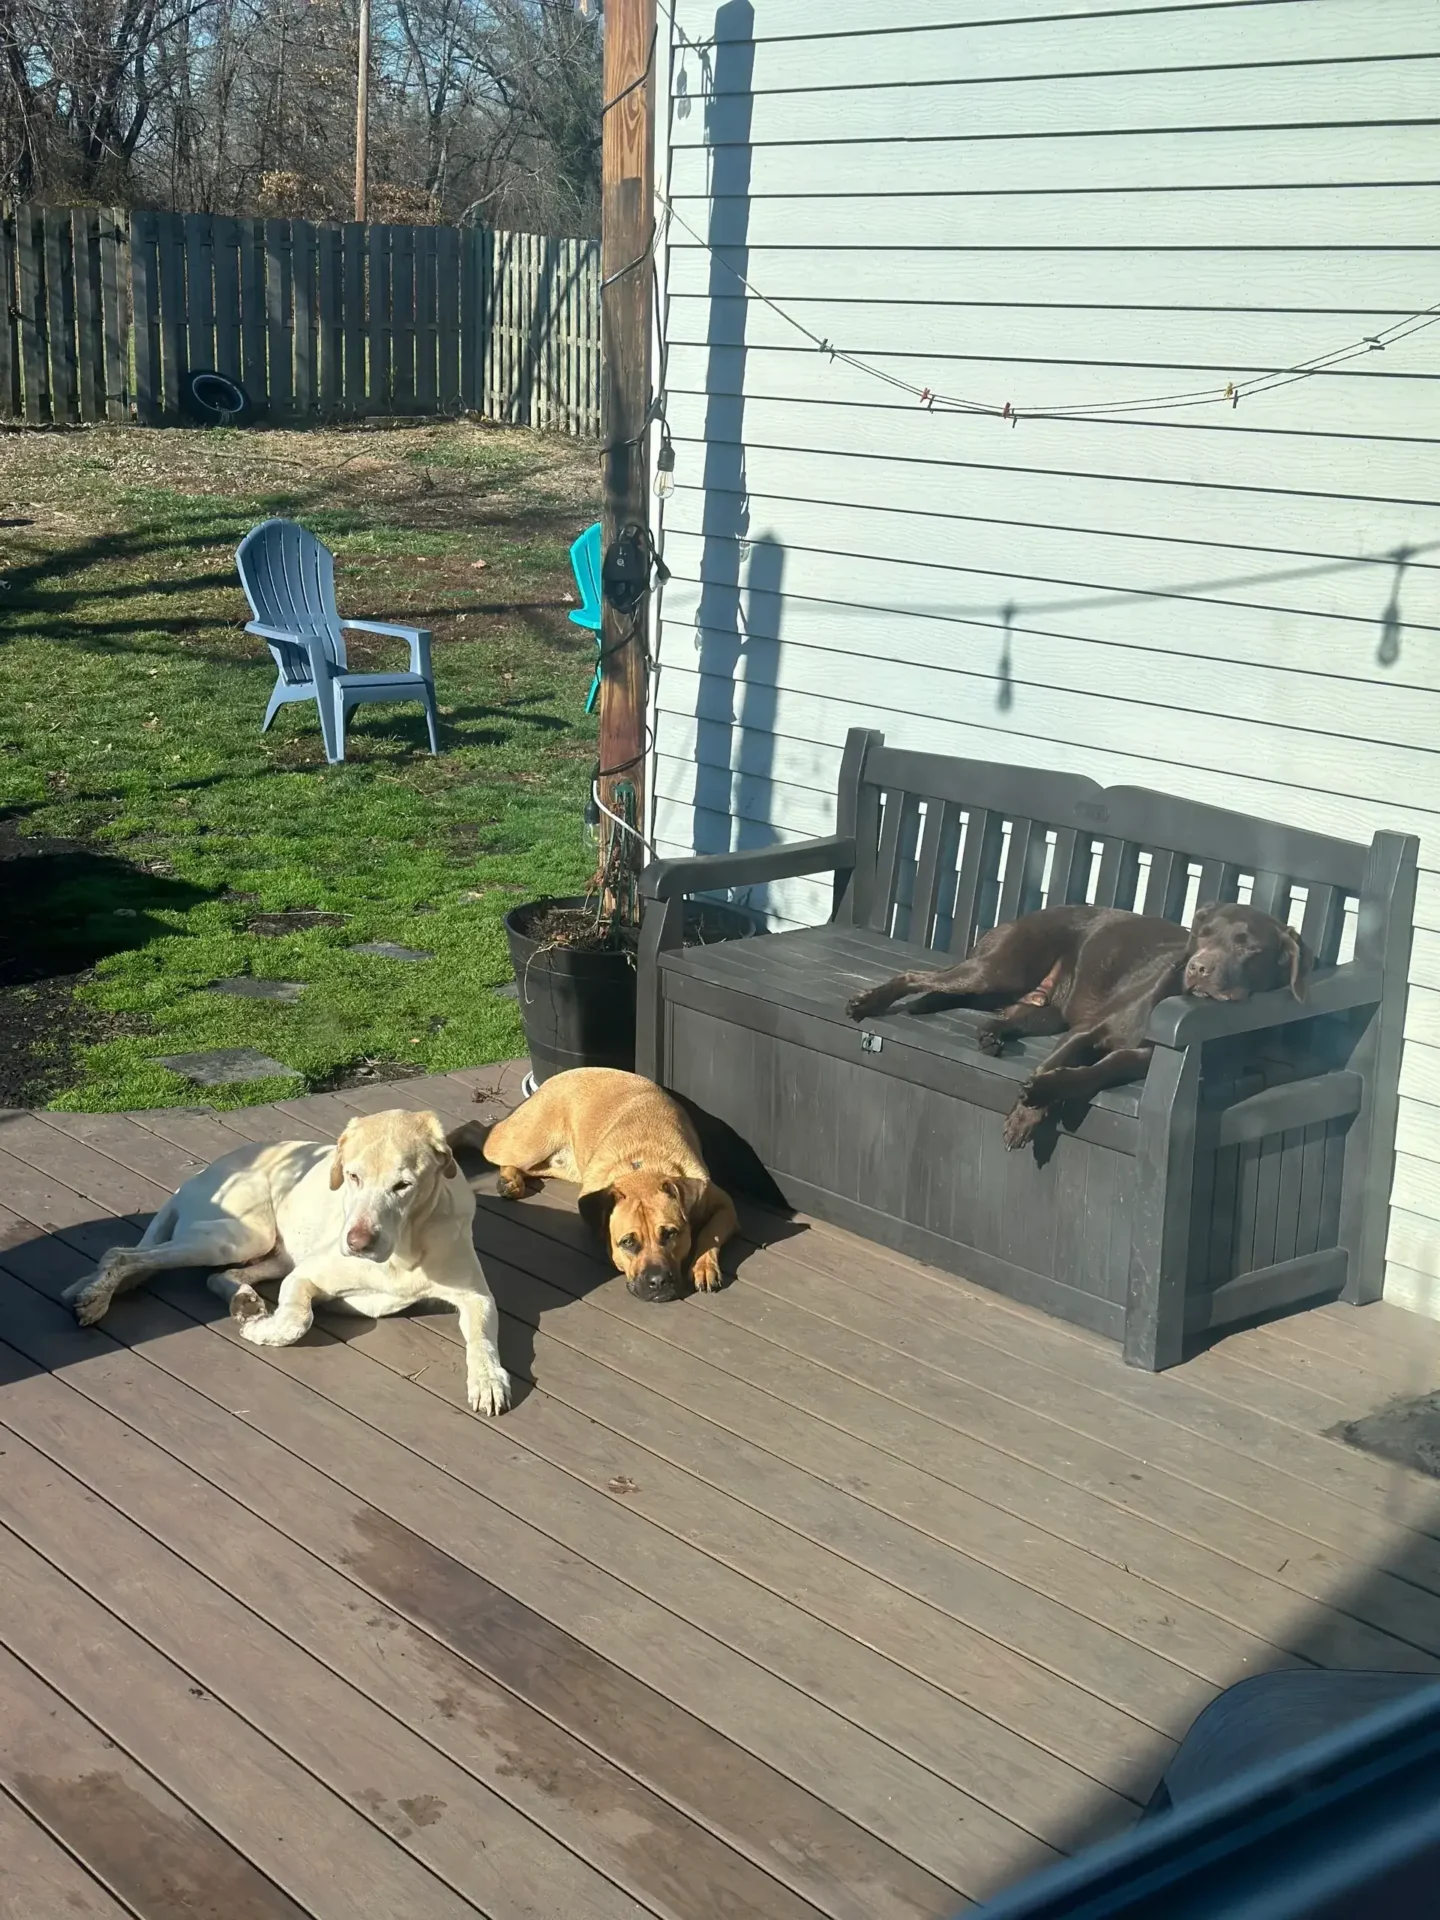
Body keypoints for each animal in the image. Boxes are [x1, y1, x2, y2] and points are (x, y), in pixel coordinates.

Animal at [61, 1113, 514, 1413]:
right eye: (352, 1177)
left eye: (403, 1185)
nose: (357, 1242)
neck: (403, 1248)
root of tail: (191, 1181)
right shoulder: (304, 1276)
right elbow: (297, 1321)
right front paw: (262, 1331)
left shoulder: (477, 1296)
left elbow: (482, 1338)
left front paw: (488, 1378)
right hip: (241, 1236)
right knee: (122, 1254)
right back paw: (96, 1298)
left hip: (270, 1252)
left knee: (221, 1277)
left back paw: (244, 1300)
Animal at [485, 1067, 737, 1305]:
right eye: (628, 1242)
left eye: (670, 1234)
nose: (658, 1281)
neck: (644, 1167)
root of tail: (556, 1077)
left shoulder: (724, 1205)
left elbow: (710, 1233)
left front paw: (703, 1266)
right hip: (524, 1145)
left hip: (557, 1163)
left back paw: (511, 1180)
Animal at [844, 902, 1305, 1144]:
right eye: (1203, 934)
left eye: (1247, 947)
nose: (1198, 967)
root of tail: (1027, 914)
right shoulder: (1087, 1032)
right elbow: (1054, 1064)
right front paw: (1026, 1111)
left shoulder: (1136, 1057)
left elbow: (1091, 1074)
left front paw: (1038, 1098)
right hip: (996, 972)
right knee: (916, 977)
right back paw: (868, 1001)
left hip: (1042, 1008)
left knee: (1003, 1015)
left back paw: (991, 1035)